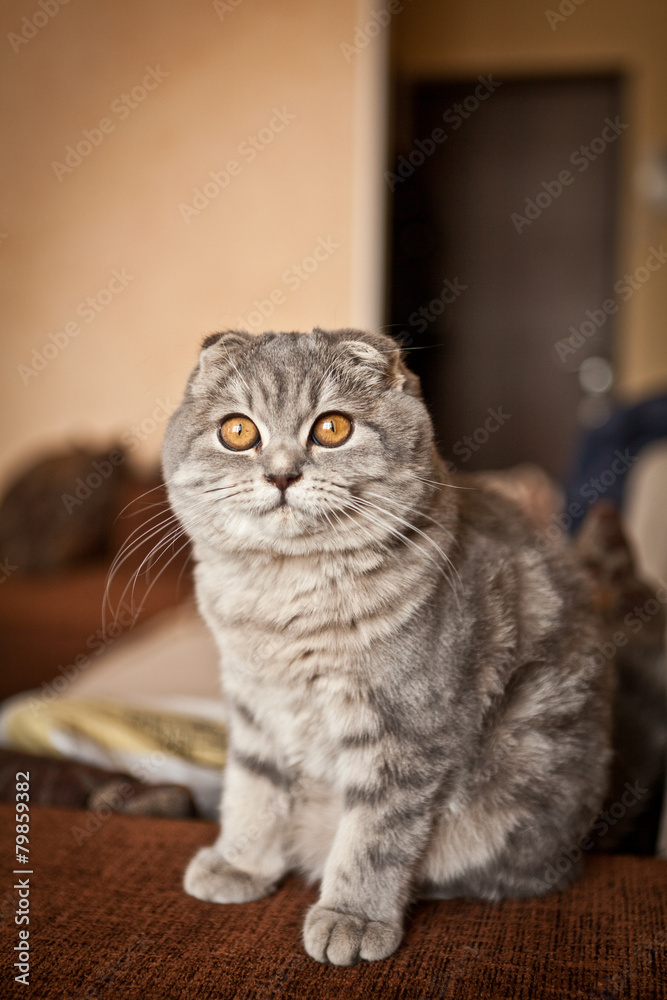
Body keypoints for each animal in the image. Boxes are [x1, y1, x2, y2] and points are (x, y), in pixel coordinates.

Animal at [163, 332, 616, 964]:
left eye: (332, 428)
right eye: (237, 431)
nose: (281, 475)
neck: (284, 605)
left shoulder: (403, 731)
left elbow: (373, 837)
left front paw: (351, 917)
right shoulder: (255, 710)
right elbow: (252, 790)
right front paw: (239, 864)